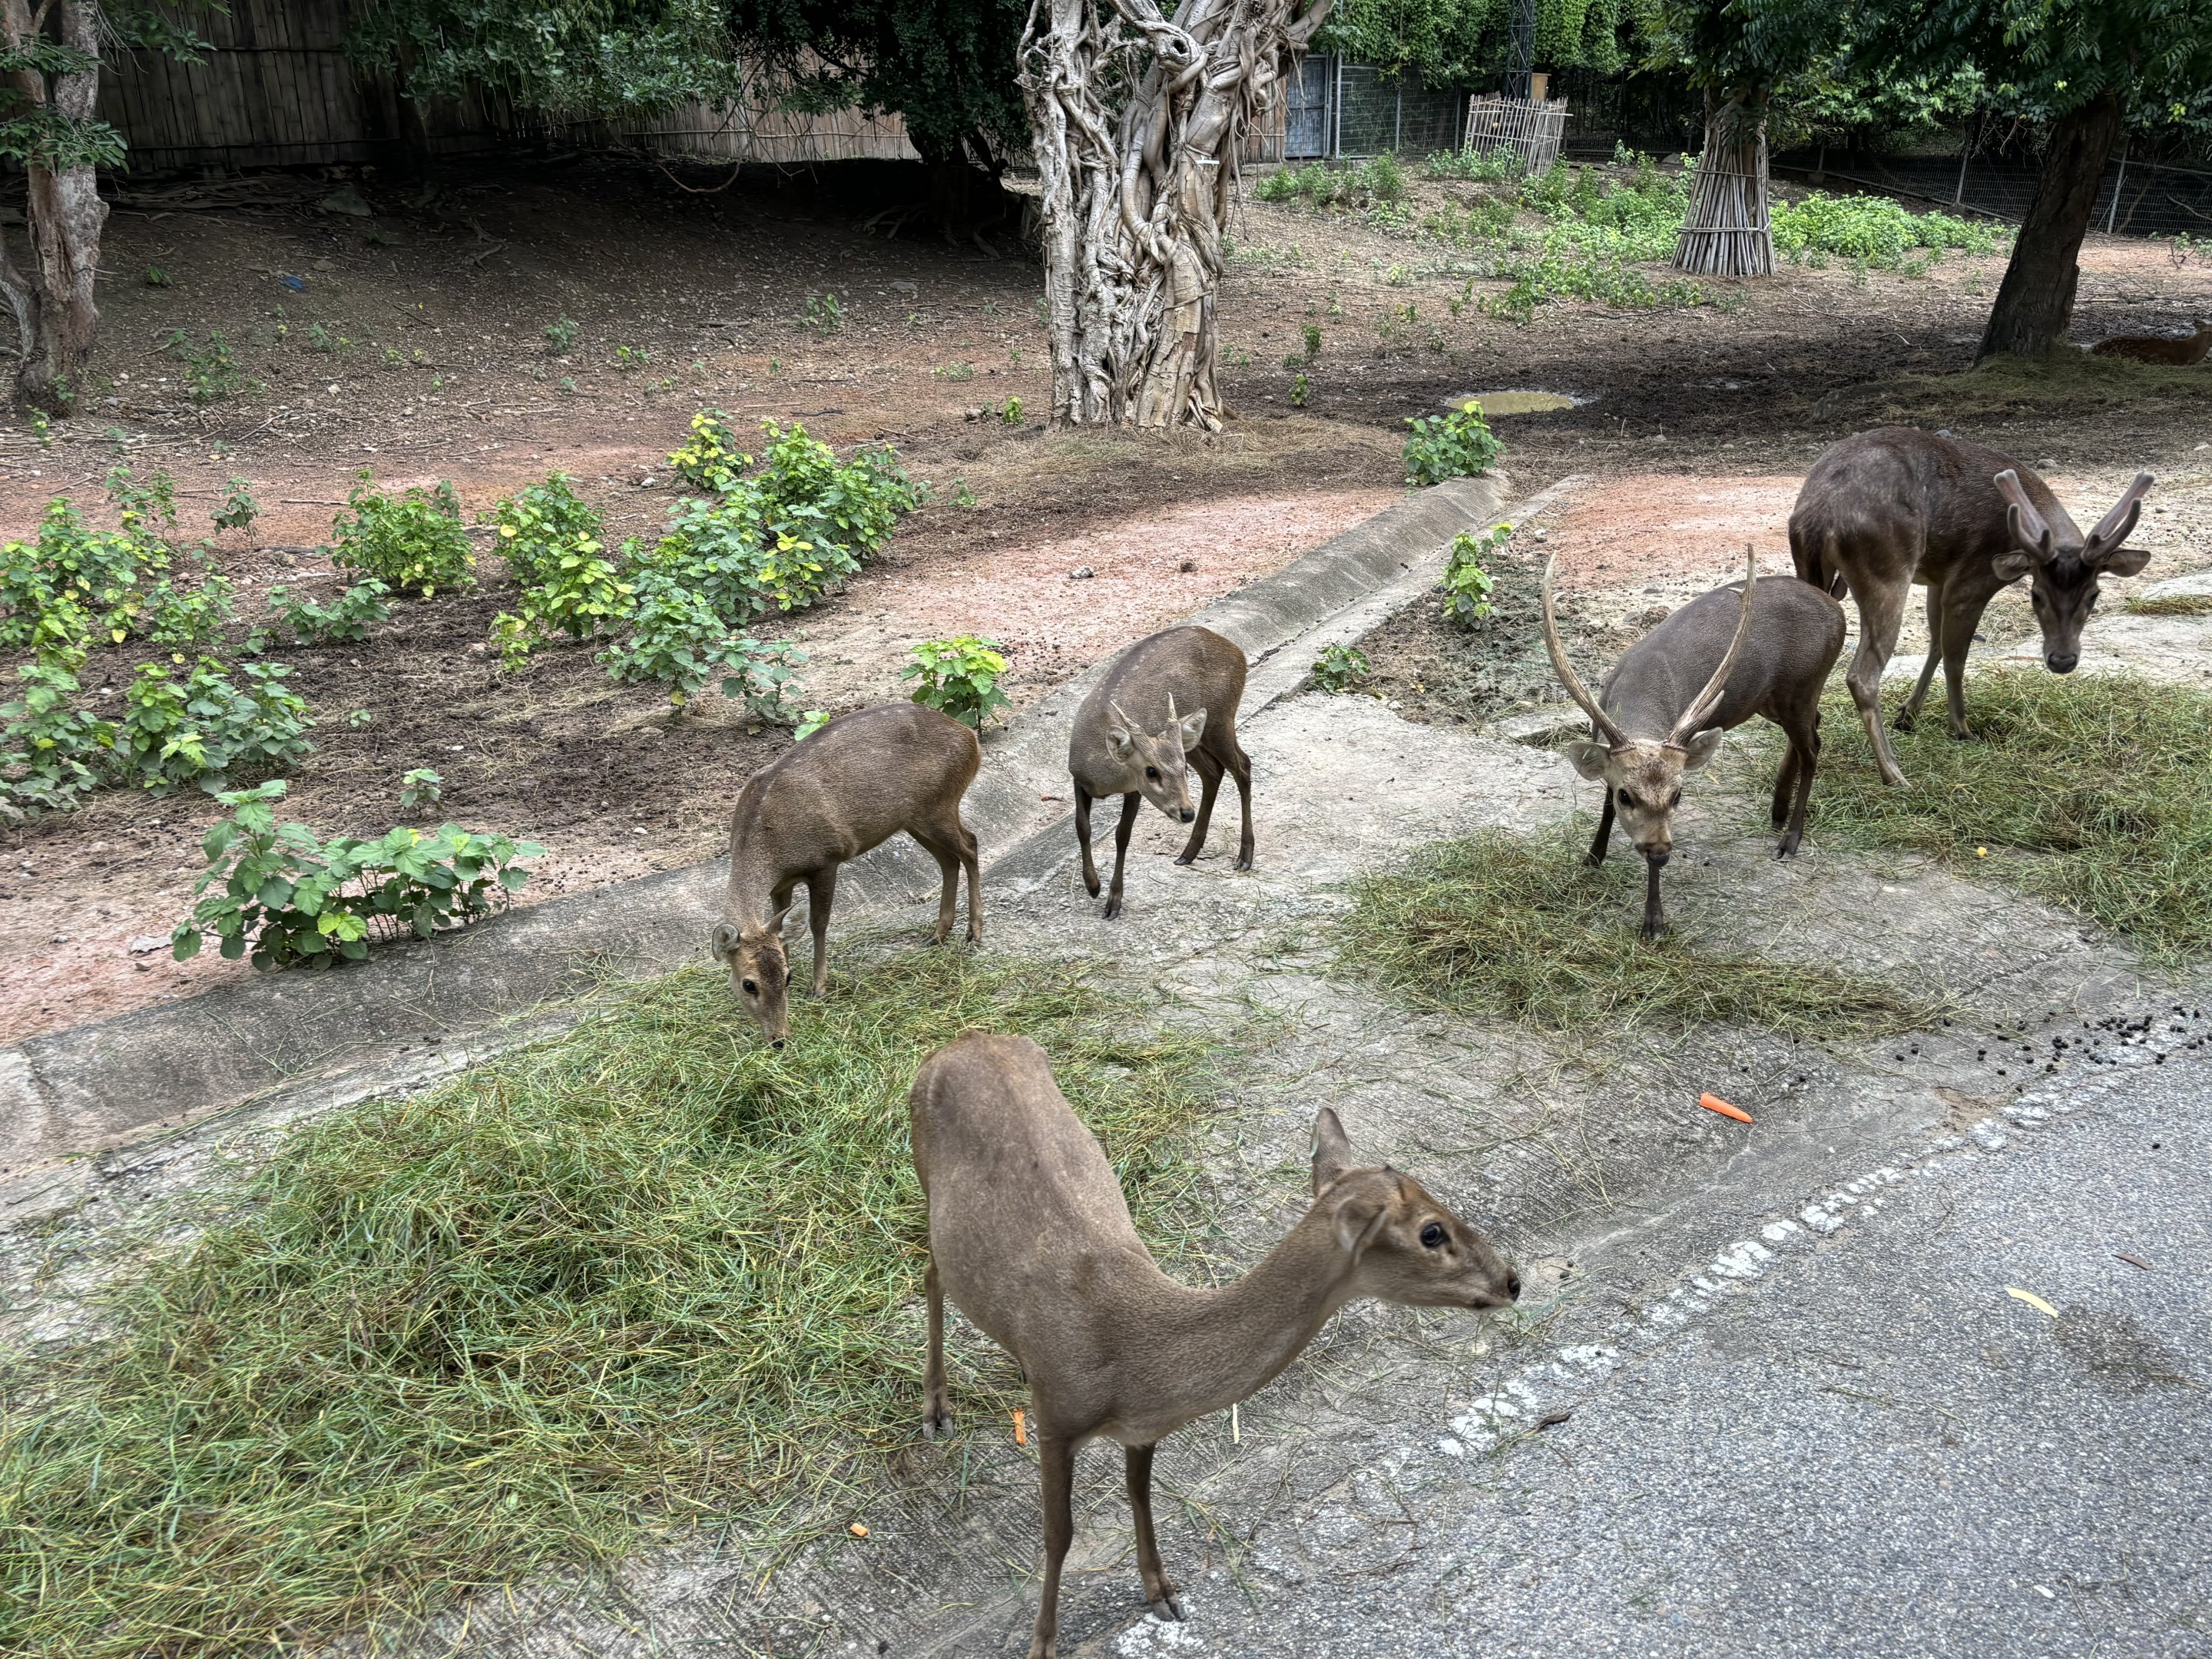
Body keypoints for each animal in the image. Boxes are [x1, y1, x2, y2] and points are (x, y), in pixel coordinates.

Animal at [708, 702, 981, 1046]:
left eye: (786, 978)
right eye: (748, 984)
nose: (780, 1038)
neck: (768, 845)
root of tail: (971, 737)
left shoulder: (827, 860)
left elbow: (818, 924)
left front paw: (819, 987)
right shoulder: (779, 885)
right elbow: (782, 934)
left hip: (939, 804)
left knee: (970, 845)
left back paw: (975, 932)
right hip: (915, 817)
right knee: (949, 860)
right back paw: (938, 934)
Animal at [910, 1032, 1518, 1659]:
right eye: (1431, 1232)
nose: (1512, 1281)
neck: (1131, 1361)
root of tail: (966, 1039)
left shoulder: (1143, 1428)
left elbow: (1140, 1497)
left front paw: (1162, 1591)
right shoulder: (1057, 1414)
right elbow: (1059, 1536)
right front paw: (1043, 1644)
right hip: (925, 1176)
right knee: (930, 1273)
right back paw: (936, 1409)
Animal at [1067, 624, 1253, 919]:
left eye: (1182, 771)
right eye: (1152, 771)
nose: (1186, 813)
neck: (1104, 778)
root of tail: (1237, 651)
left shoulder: (1133, 789)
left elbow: (1122, 836)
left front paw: (1113, 901)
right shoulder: (1078, 778)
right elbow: (1082, 828)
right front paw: (1092, 885)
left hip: (1221, 719)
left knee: (1243, 766)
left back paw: (1245, 856)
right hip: (1193, 739)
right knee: (1214, 772)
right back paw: (1189, 852)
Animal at [1542, 547, 1847, 940]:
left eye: (1678, 795)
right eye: (1625, 795)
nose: (1659, 852)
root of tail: (1838, 611)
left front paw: (1654, 922)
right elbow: (1604, 806)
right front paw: (1593, 856)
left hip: (1804, 684)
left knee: (1813, 749)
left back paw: (1790, 840)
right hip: (1774, 700)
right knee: (1816, 729)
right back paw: (1777, 812)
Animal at [1789, 427, 2154, 787]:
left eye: (2093, 595)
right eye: (2035, 595)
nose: (2062, 660)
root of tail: (1819, 514)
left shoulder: (1939, 578)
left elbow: (1935, 644)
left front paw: (1908, 714)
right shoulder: (1972, 581)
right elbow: (1956, 657)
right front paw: (1961, 729)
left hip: (1810, 568)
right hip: (1888, 572)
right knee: (1862, 676)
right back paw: (1894, 774)